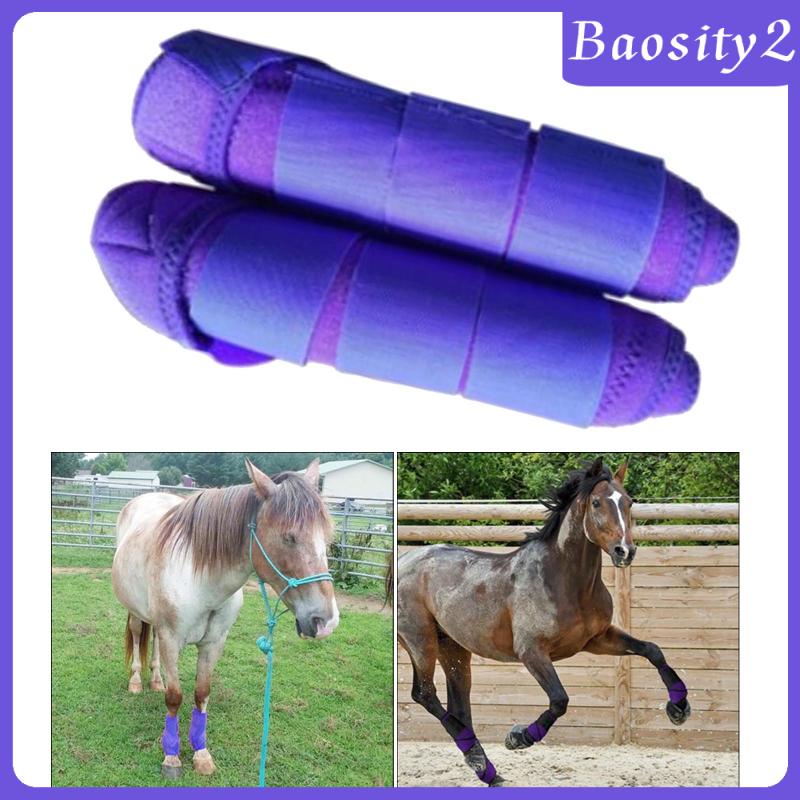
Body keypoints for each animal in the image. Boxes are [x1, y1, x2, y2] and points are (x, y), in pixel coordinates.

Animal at [111, 457, 339, 779]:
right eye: (289, 537)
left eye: (326, 538)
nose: (326, 621)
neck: (200, 579)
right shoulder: (172, 638)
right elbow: (175, 697)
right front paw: (172, 757)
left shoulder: (214, 642)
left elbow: (201, 693)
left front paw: (201, 754)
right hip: (134, 611)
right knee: (135, 633)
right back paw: (135, 682)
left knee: (152, 641)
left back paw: (155, 680)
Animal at [397, 458, 691, 787]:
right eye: (597, 503)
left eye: (628, 502)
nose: (624, 552)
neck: (565, 582)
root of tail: (404, 561)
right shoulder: (532, 652)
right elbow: (560, 699)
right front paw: (519, 737)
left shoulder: (598, 638)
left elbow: (652, 650)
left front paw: (679, 709)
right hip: (421, 641)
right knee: (424, 694)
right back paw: (482, 761)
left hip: (454, 647)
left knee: (458, 704)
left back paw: (485, 768)